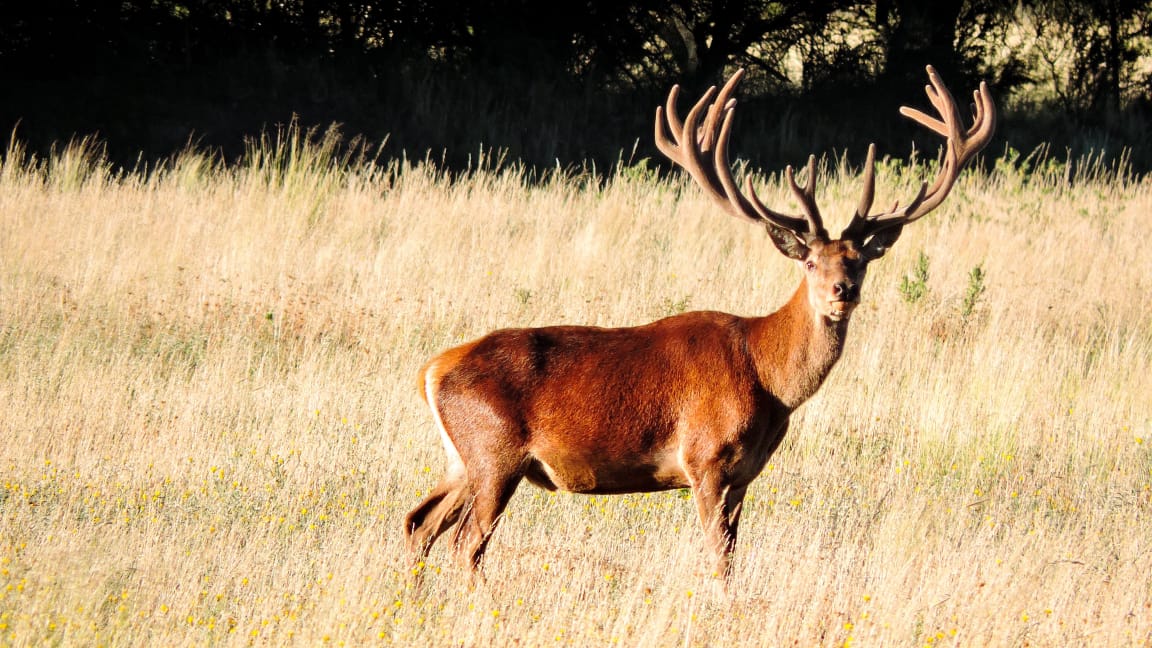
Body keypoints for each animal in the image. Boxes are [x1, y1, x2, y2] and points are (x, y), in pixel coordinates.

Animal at [403, 65, 990, 576]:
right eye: (809, 262)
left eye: (860, 259)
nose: (842, 291)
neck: (768, 377)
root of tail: (431, 370)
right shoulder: (704, 459)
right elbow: (719, 557)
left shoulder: (745, 474)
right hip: (495, 453)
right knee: (466, 544)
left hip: (463, 460)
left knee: (418, 523)